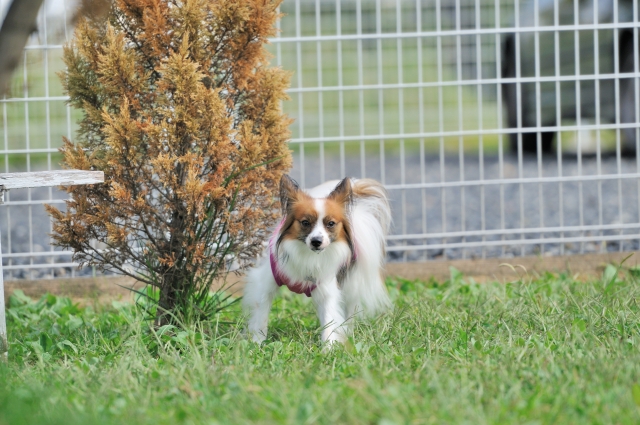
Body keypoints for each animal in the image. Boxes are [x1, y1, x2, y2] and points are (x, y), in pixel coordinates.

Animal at [242, 174, 392, 344]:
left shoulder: (327, 288)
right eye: (305, 222)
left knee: (349, 311)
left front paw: (328, 347)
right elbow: (261, 316)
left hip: (351, 286)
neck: (308, 256)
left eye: (331, 224)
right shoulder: (266, 282)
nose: (316, 241)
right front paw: (257, 342)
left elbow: (329, 320)